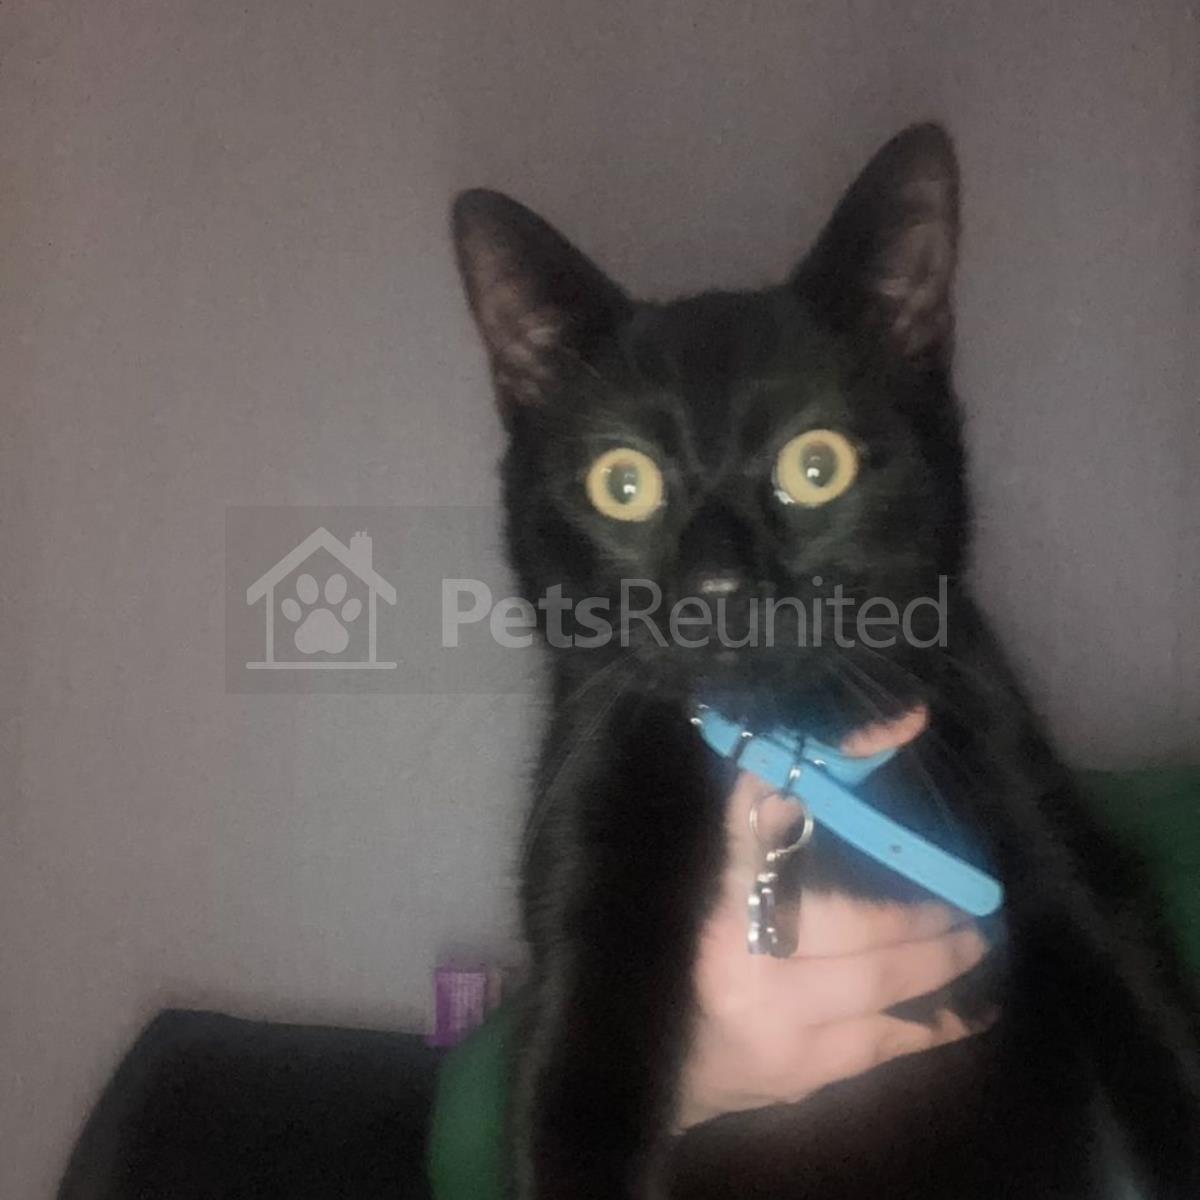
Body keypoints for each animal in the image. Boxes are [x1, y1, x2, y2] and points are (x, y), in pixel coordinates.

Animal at [450, 124, 1200, 1199]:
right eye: (621, 483)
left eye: (817, 467)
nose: (720, 585)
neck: (796, 744)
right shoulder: (586, 874)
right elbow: (574, 1099)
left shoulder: (1062, 843)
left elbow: (1152, 1030)